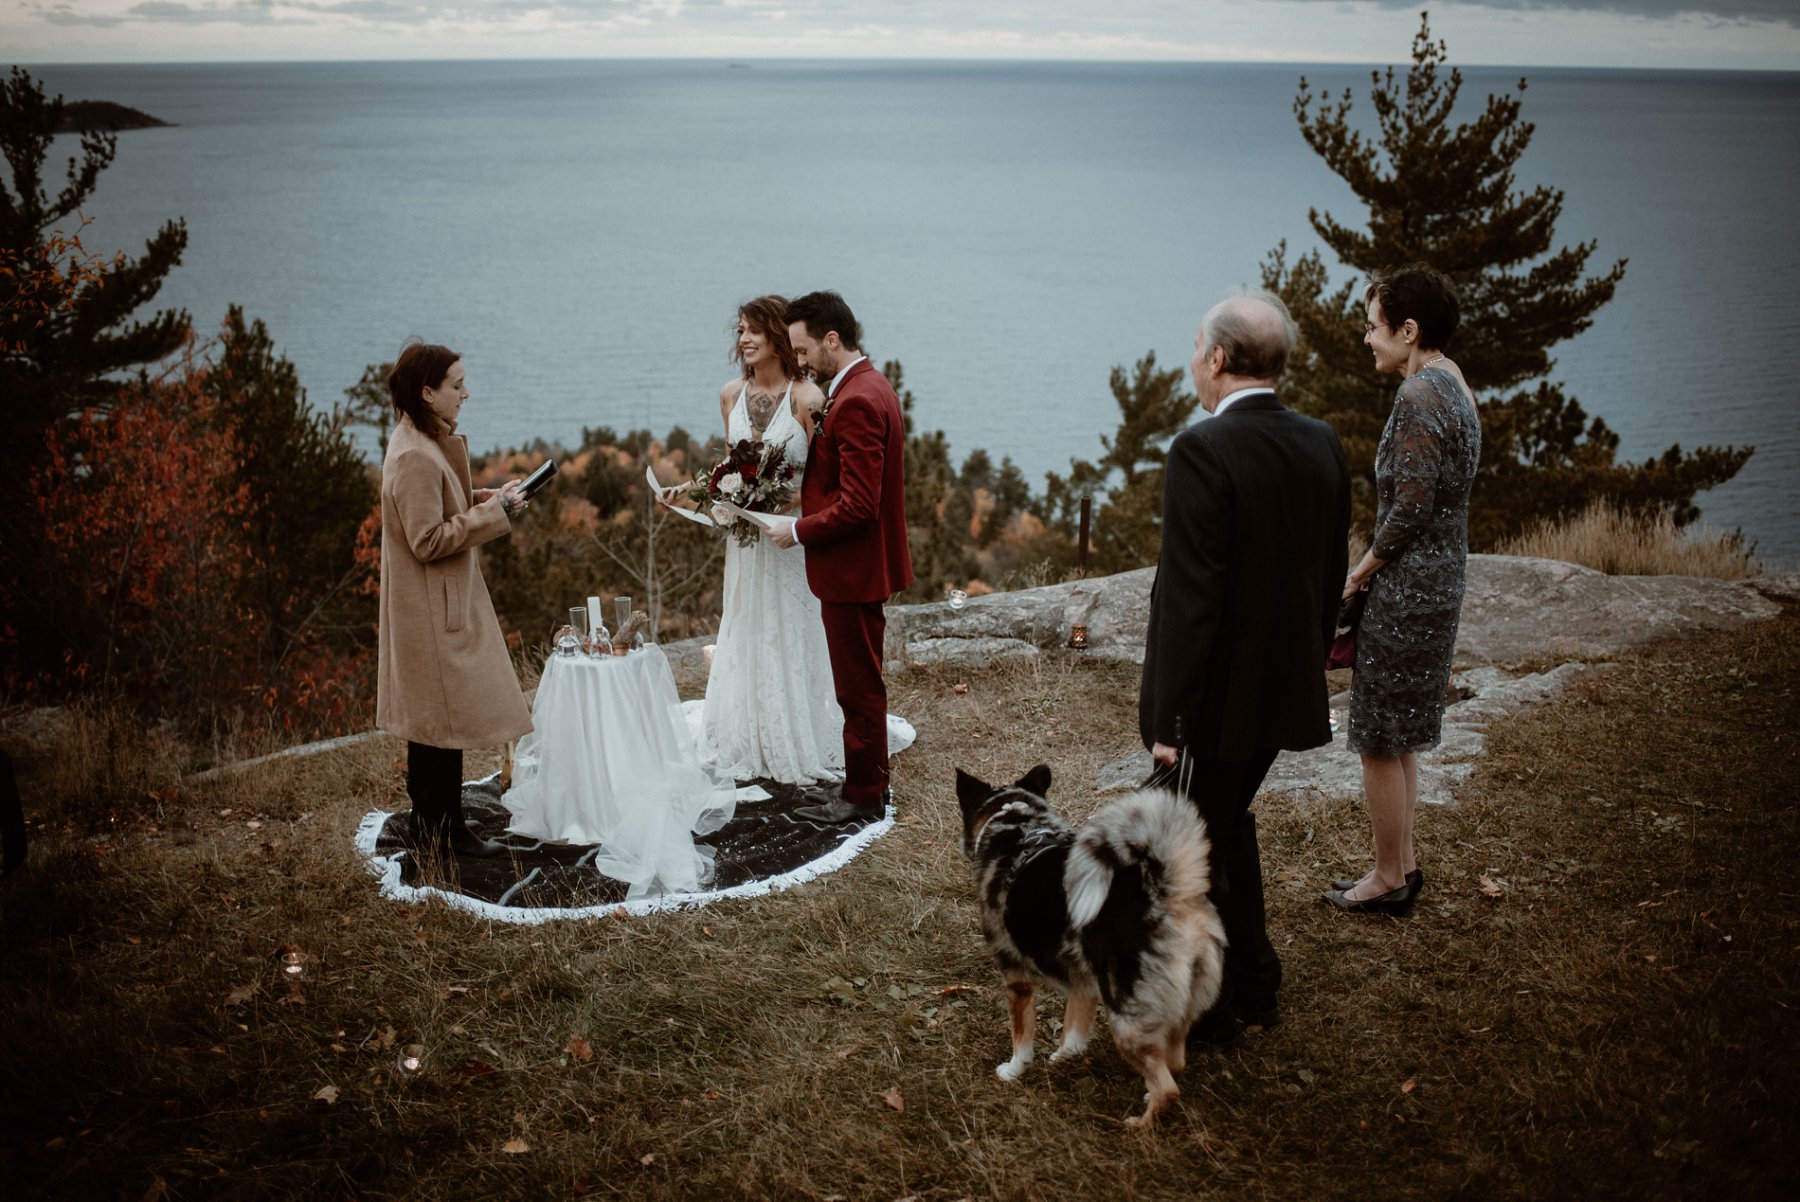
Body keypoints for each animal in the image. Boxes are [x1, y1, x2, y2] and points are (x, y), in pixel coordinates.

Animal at [957, 766, 1224, 1122]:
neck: (1017, 825)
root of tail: (1166, 897)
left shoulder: (1017, 979)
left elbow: (1021, 1036)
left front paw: (1013, 1070)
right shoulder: (1082, 977)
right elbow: (1074, 1026)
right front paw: (1064, 1055)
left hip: (1126, 1020)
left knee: (1167, 1089)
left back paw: (1140, 1124)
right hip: (1176, 1011)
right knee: (1175, 1064)